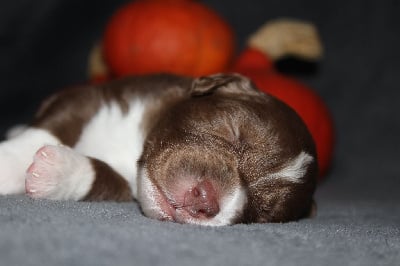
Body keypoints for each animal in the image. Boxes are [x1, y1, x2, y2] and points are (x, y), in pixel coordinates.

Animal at [0, 74, 316, 225]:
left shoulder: (122, 187)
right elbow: (48, 129)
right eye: (232, 131)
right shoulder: (90, 97)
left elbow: (104, 178)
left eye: (262, 211)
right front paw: (6, 165)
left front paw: (55, 172)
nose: (204, 200)